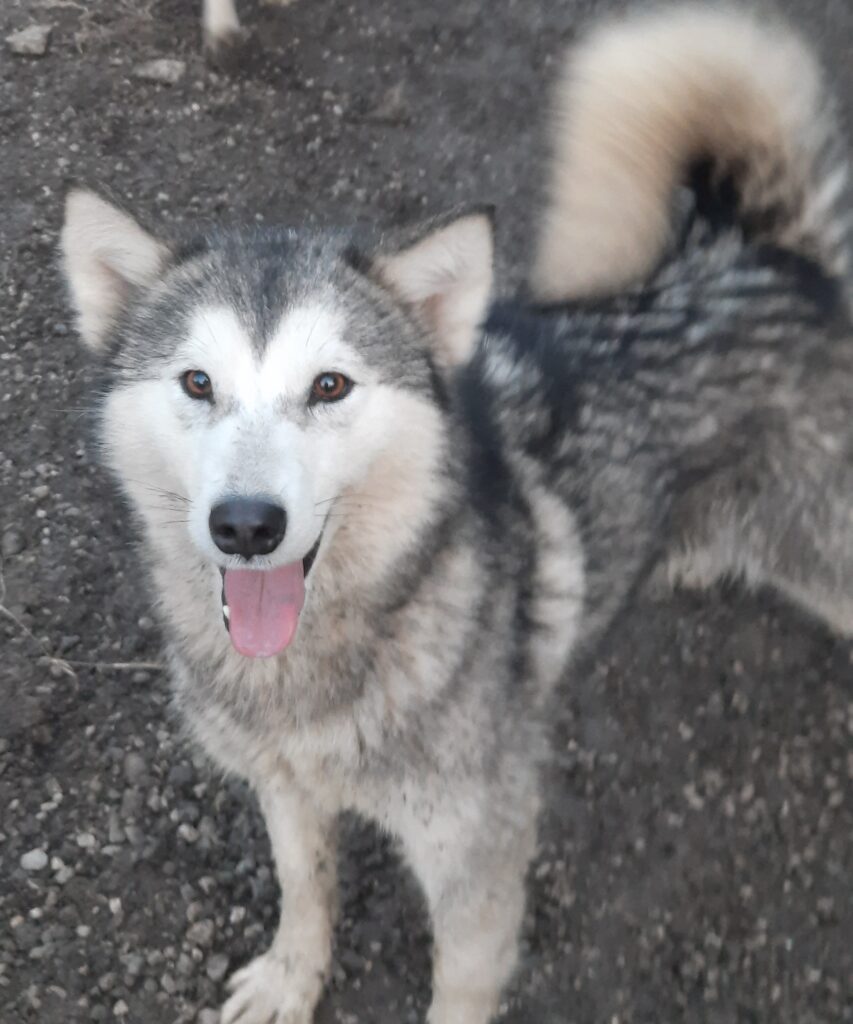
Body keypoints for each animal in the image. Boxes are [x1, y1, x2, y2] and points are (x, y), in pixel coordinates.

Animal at [56, 8, 847, 1024]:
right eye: (197, 382)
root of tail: (772, 261)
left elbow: (460, 982)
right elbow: (304, 885)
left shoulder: (478, 853)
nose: (246, 525)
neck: (319, 675)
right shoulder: (284, 787)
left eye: (329, 385)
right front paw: (290, 976)